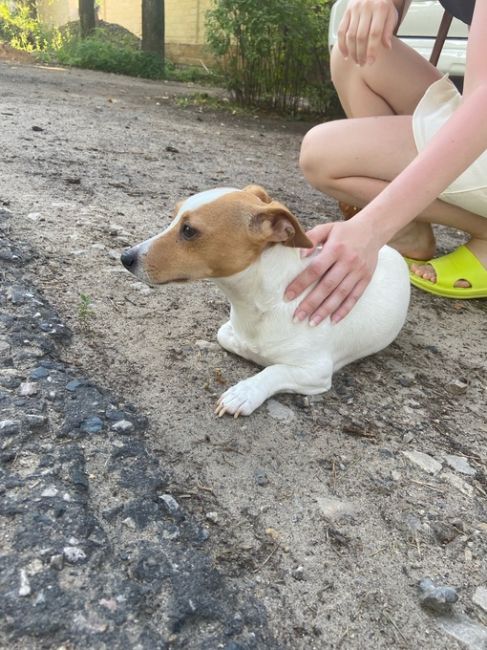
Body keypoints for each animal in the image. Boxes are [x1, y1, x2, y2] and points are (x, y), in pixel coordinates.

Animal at [122, 184, 412, 416]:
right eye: (172, 218)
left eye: (189, 230)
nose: (125, 257)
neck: (261, 302)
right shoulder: (229, 330)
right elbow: (230, 338)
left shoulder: (316, 371)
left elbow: (275, 370)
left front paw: (245, 392)